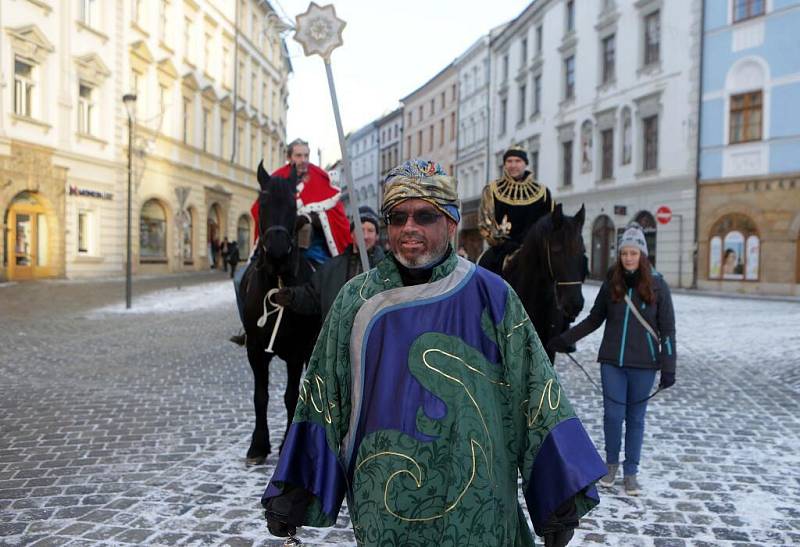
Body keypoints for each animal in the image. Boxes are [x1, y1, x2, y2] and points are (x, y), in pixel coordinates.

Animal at [239, 165, 320, 464]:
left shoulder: (296, 352)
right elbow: (260, 396)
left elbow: (290, 396)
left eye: (293, 204)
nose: (276, 248)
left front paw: (286, 444)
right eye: (262, 203)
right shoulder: (255, 350)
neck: (278, 281)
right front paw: (258, 445)